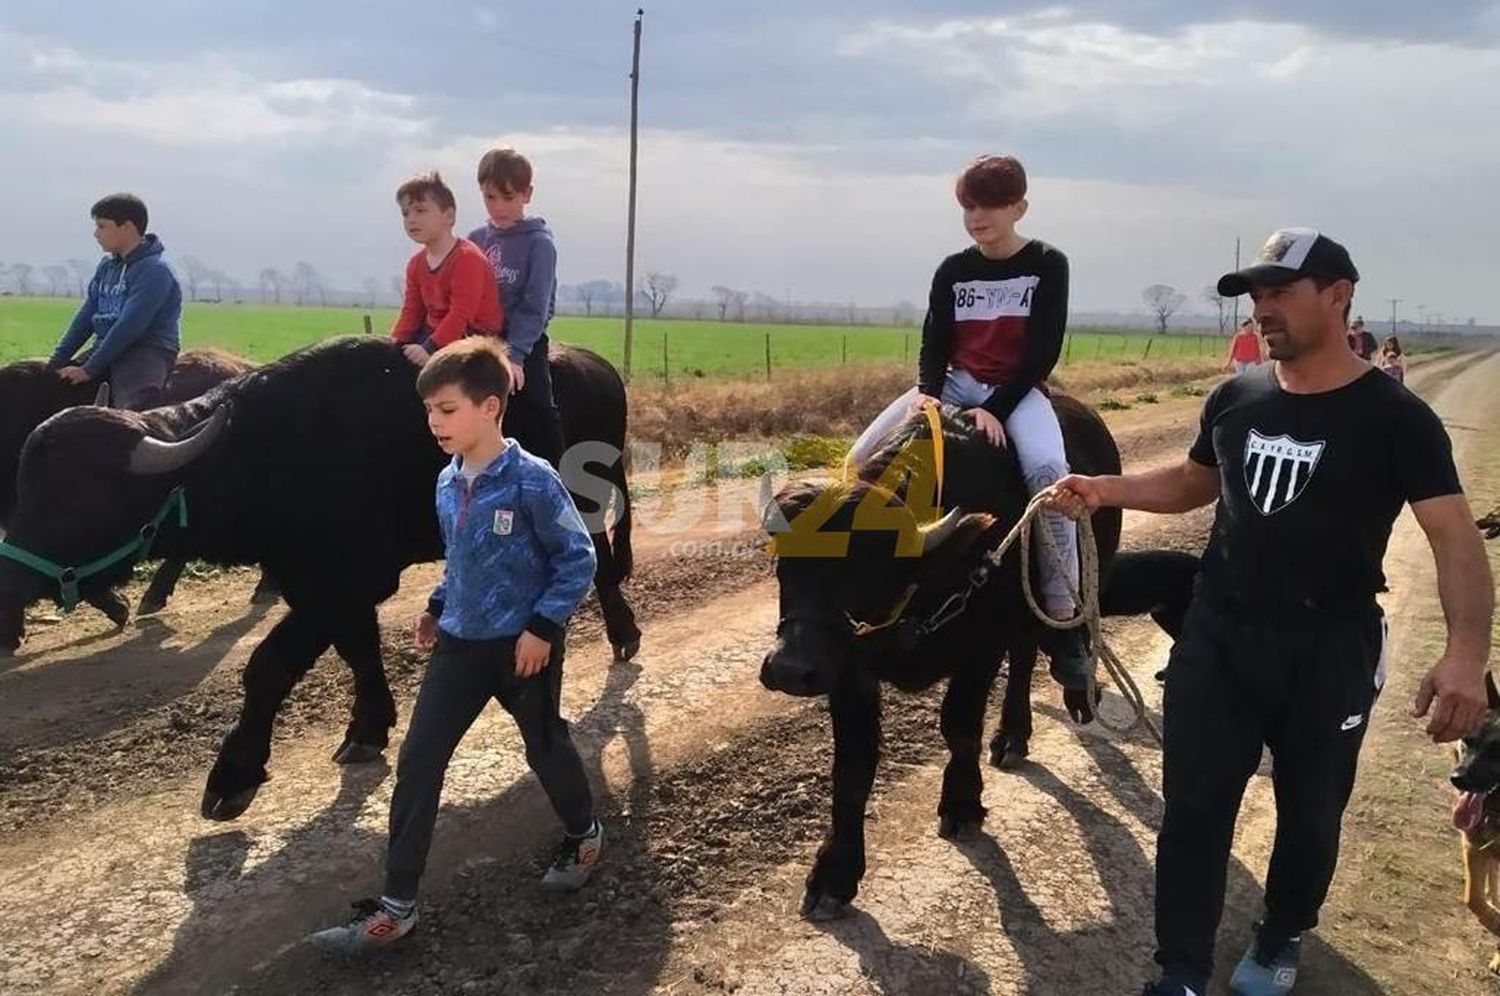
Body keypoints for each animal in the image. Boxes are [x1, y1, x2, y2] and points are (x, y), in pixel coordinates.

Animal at [0, 339, 636, 822]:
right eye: (26, 484)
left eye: (74, 503)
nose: (8, 577)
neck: (264, 452)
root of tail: (601, 366)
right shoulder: (326, 586)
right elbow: (359, 650)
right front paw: (369, 726)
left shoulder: (342, 584)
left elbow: (267, 667)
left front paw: (233, 772)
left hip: (587, 495)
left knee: (602, 560)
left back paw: (624, 633)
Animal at [762, 396, 1194, 918]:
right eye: (784, 564)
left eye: (865, 565)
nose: (789, 667)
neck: (926, 582)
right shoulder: (848, 667)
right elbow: (853, 765)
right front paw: (835, 871)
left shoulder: (980, 649)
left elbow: (959, 726)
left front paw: (962, 803)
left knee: (1034, 653)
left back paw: (1034, 717)